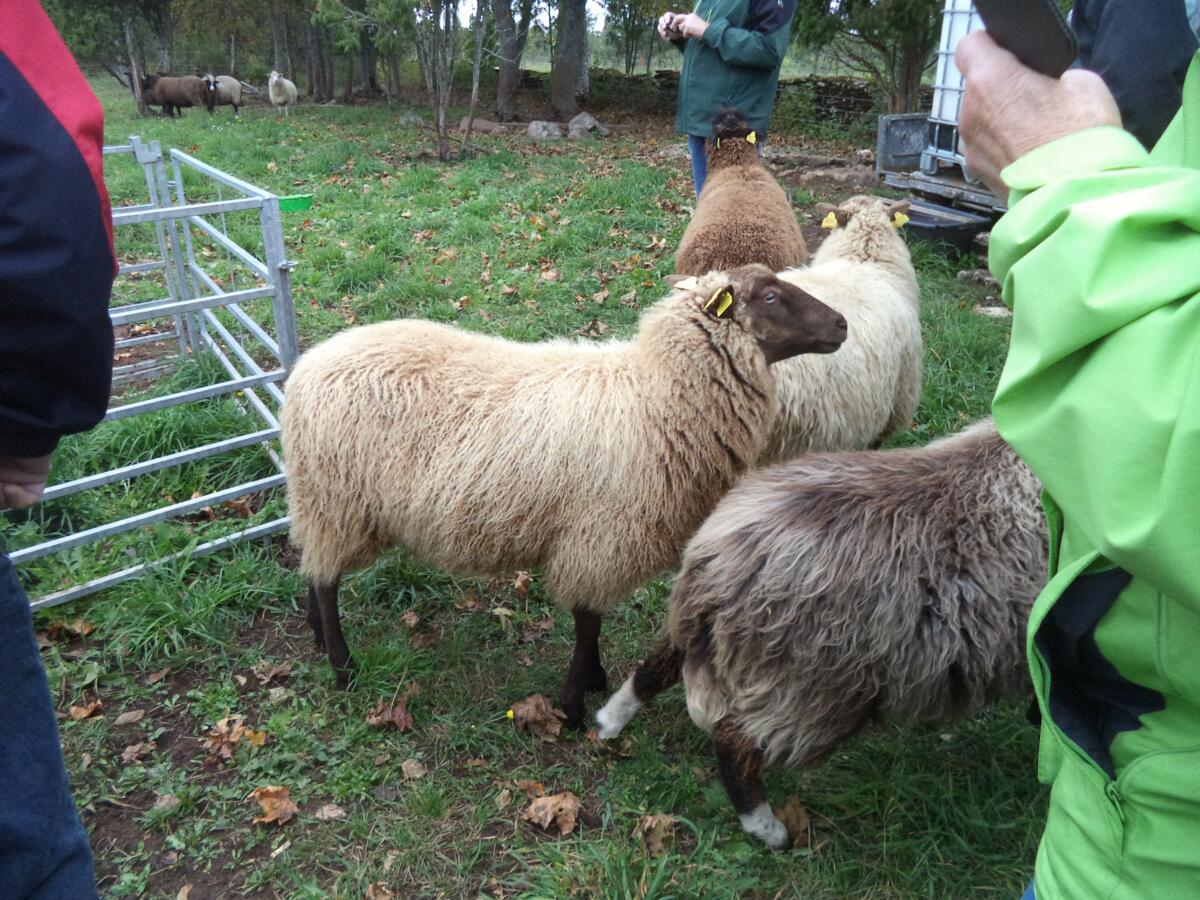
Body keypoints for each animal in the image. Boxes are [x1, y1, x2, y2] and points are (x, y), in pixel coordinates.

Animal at [281, 265, 848, 726]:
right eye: (770, 296)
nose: (842, 325)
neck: (659, 397)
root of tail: (306, 369)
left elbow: (588, 621)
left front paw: (592, 682)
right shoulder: (599, 538)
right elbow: (587, 621)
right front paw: (575, 704)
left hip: (318, 499)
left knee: (312, 564)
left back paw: (315, 631)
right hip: (337, 500)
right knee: (327, 581)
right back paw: (342, 666)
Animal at [595, 420, 1046, 848]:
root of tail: (713, 566)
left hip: (704, 633)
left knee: (656, 665)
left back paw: (609, 721)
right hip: (812, 692)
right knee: (734, 742)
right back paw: (768, 830)